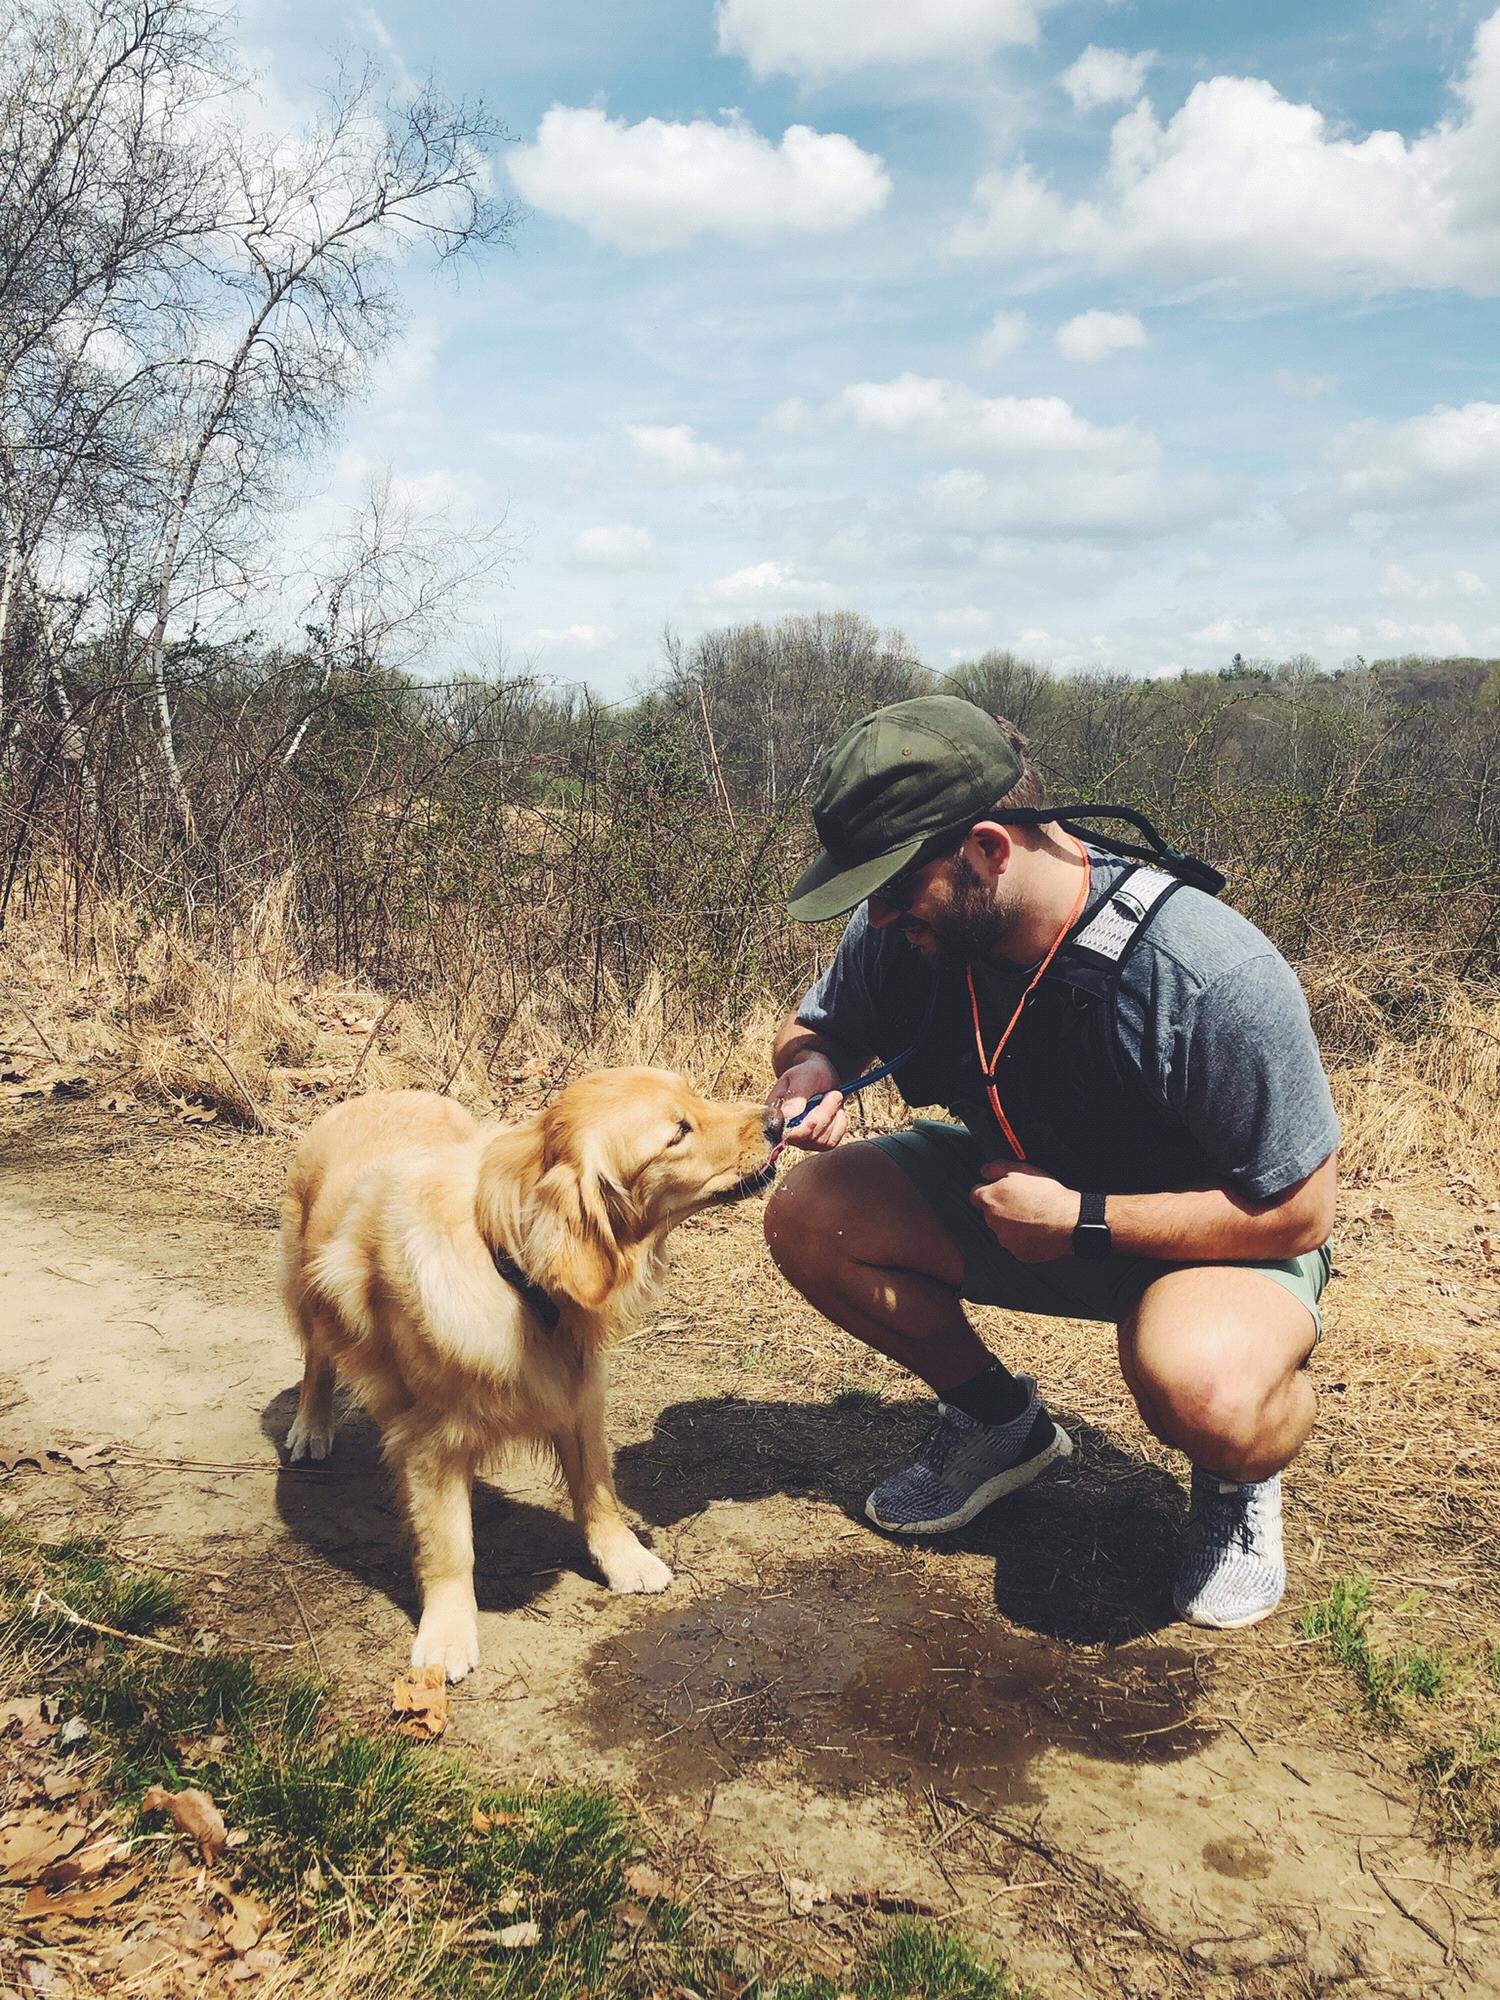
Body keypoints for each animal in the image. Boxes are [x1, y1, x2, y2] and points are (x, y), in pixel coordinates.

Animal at [280, 1072, 788, 1680]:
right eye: (677, 1133)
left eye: (695, 1096)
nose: (779, 1121)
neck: (514, 1274)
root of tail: (380, 1094)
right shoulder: (428, 1439)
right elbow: (451, 1546)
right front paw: (446, 1633)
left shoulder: (579, 1394)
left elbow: (598, 1492)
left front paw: (624, 1559)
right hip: (309, 1289)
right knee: (317, 1359)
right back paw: (311, 1426)